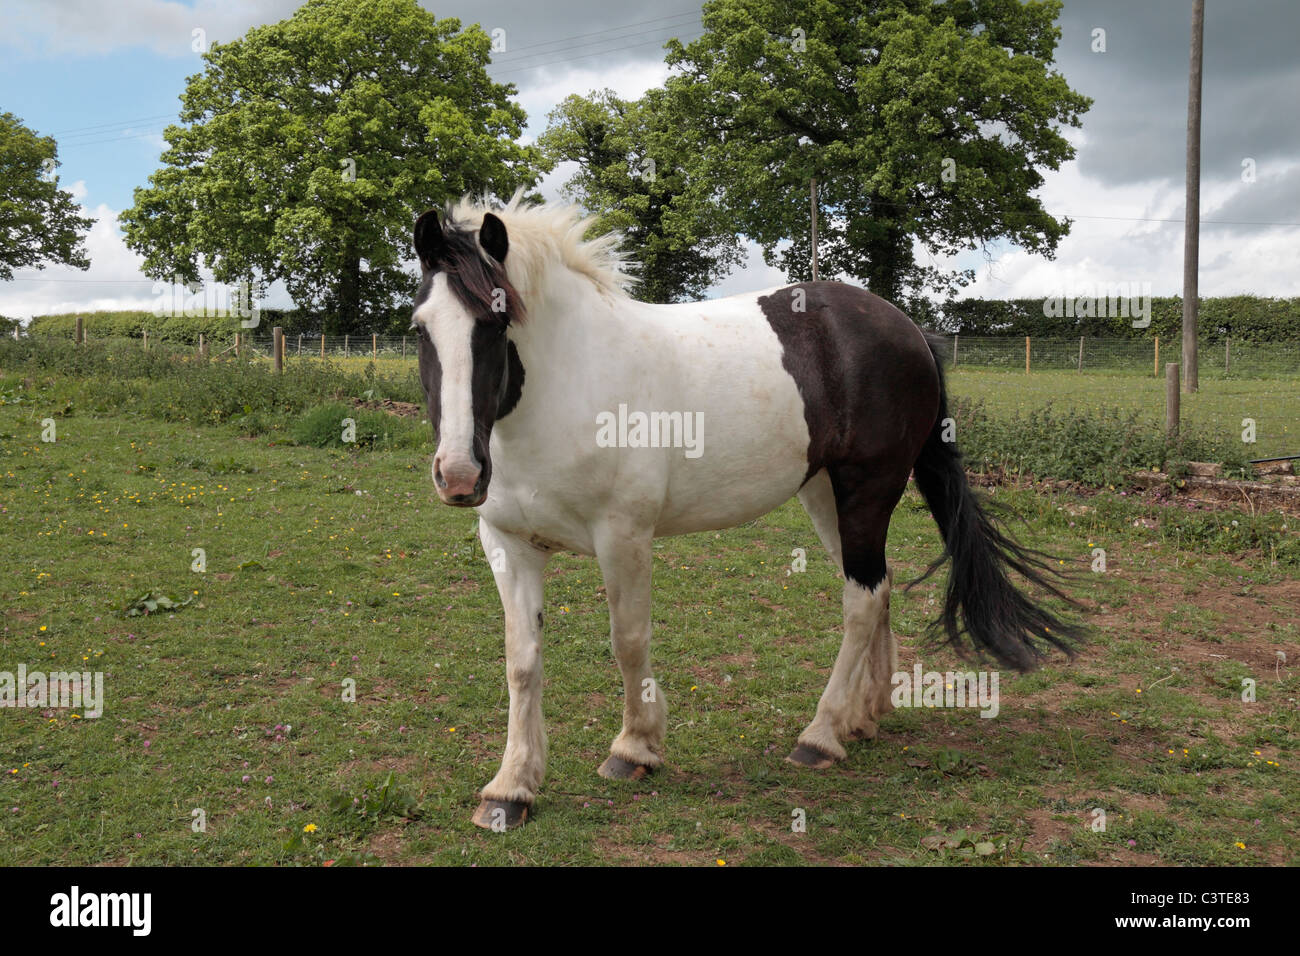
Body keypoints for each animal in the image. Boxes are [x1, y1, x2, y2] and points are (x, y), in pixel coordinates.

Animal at [410, 195, 1081, 832]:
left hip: (868, 490)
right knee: (880, 585)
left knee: (862, 600)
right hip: (825, 496)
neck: (568, 384)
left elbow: (628, 642)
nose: (459, 475)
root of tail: (906, 327)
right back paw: (864, 717)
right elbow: (521, 662)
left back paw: (821, 735)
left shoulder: (623, 536)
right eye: (421, 328)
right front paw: (511, 789)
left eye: (498, 321)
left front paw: (635, 748)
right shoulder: (507, 542)